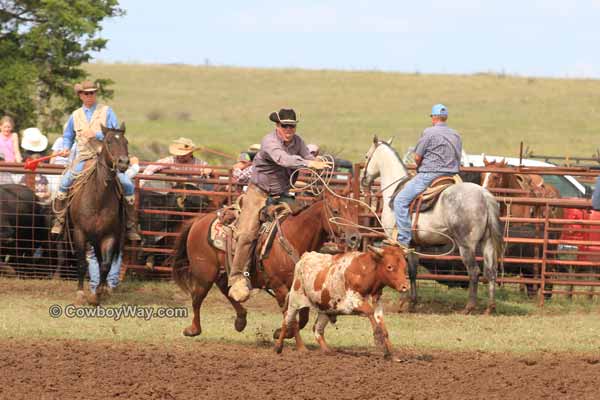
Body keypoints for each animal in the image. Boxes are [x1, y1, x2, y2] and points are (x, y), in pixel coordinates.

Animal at [70, 123, 131, 304]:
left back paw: (103, 288)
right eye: (109, 141)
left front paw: (97, 294)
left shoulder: (109, 235)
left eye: (126, 142)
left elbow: (106, 265)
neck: (98, 198)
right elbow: (82, 263)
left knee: (102, 261)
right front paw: (80, 293)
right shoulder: (79, 232)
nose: (123, 162)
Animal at [169, 189, 360, 340]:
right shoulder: (279, 287)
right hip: (204, 273)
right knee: (197, 298)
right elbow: (289, 314)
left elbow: (304, 316)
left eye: (354, 211)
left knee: (225, 288)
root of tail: (198, 220)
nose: (354, 237)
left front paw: (281, 332)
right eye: (336, 211)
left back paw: (240, 320)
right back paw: (193, 329)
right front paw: (282, 333)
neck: (294, 238)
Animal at [276, 245, 408, 358]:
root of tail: (305, 257)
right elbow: (369, 312)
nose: (405, 286)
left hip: (326, 310)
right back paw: (278, 347)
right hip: (295, 301)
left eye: (404, 266)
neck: (364, 272)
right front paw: (378, 339)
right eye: (389, 266)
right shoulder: (352, 301)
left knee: (317, 330)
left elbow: (381, 323)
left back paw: (328, 351)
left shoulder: (377, 301)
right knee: (287, 321)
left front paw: (391, 353)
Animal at [360, 136, 506, 314]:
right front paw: (412, 302)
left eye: (367, 156)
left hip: (466, 245)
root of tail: (484, 195)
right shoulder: (413, 245)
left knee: (474, 271)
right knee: (491, 271)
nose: (363, 181)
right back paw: (490, 307)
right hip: (488, 242)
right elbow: (413, 272)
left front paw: (402, 303)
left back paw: (469, 307)